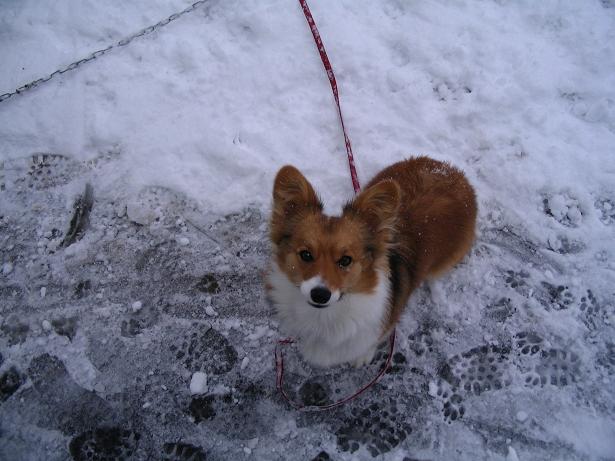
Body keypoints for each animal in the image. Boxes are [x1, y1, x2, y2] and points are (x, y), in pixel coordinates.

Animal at [266, 156, 477, 367]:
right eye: (306, 254)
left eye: (346, 260)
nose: (320, 295)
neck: (327, 315)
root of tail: (451, 171)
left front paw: (363, 357)